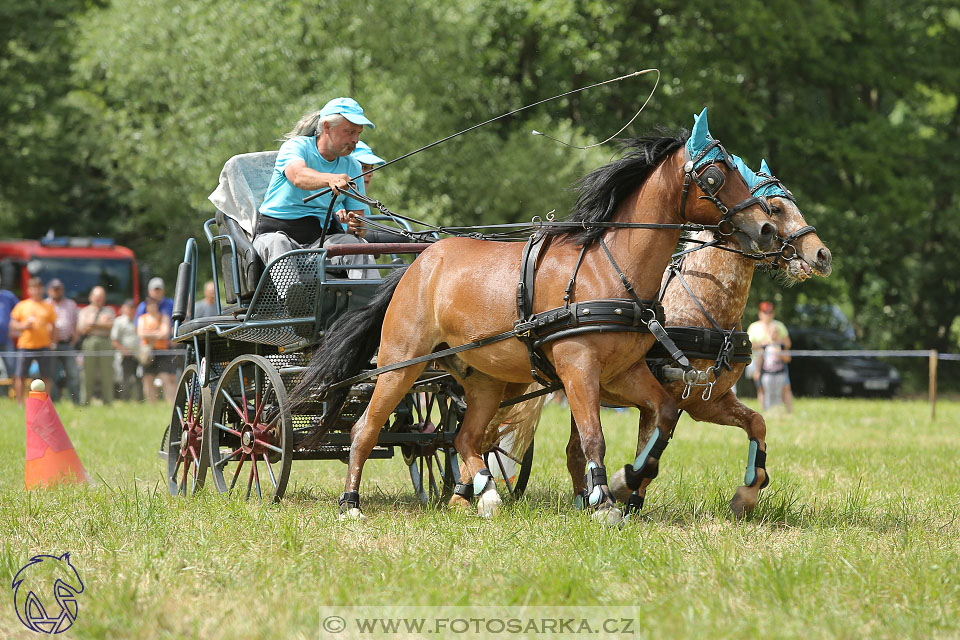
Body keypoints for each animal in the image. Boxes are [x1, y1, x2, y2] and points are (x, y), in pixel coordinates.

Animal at [298, 110, 780, 520]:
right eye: (715, 175)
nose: (766, 229)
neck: (609, 268)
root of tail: (416, 265)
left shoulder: (625, 373)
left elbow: (661, 417)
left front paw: (626, 481)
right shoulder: (578, 367)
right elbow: (593, 437)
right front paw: (605, 499)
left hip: (486, 378)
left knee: (467, 437)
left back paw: (486, 493)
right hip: (401, 362)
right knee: (366, 429)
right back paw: (351, 503)